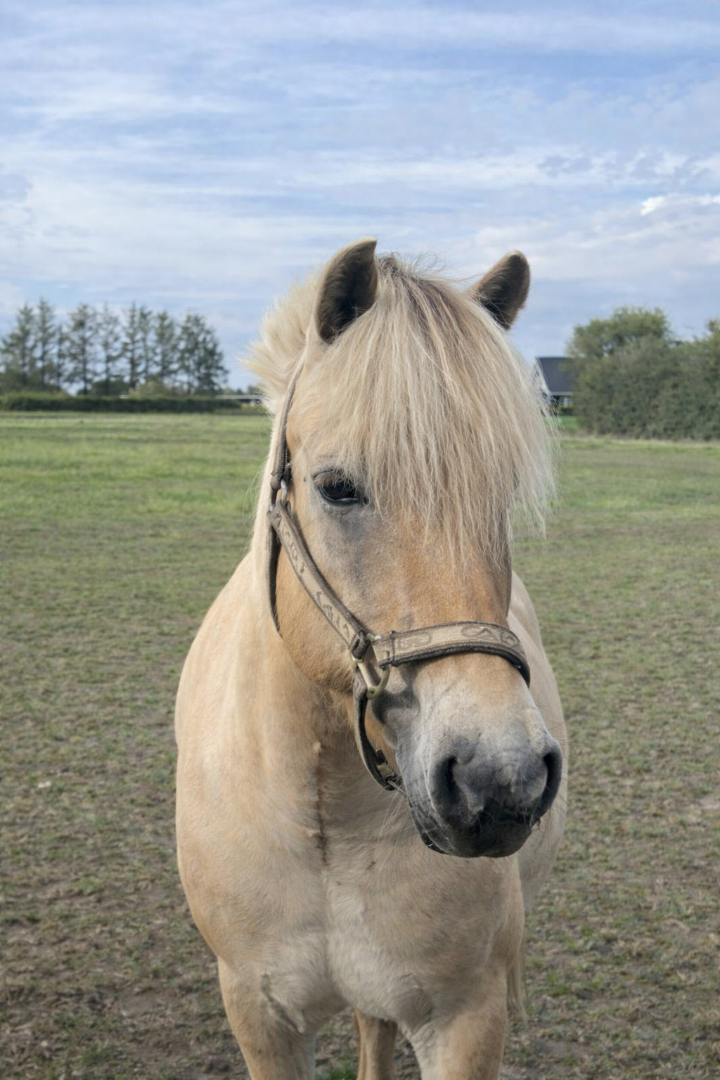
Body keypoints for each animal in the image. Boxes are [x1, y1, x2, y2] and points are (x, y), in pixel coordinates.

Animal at [175, 239, 568, 1079]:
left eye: (502, 497)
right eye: (337, 488)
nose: (499, 780)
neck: (324, 818)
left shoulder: (465, 1019)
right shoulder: (259, 1015)